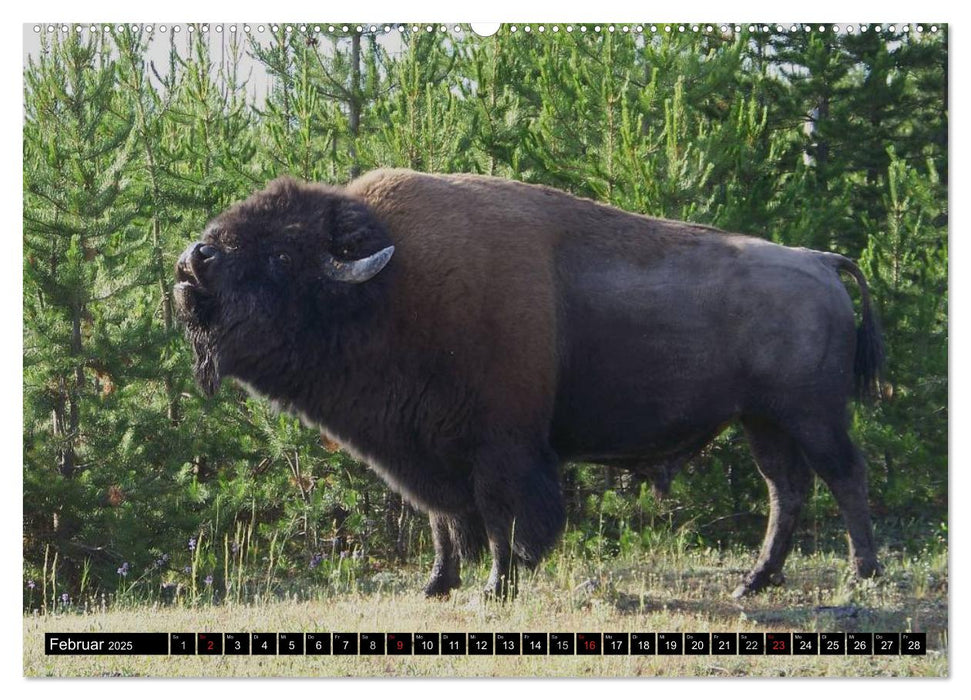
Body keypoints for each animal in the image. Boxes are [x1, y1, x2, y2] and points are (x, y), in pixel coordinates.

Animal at [171, 168, 884, 596]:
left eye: (280, 255)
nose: (191, 262)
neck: (390, 283)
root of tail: (821, 261)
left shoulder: (501, 446)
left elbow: (499, 515)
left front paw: (498, 584)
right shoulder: (422, 448)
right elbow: (443, 518)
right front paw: (437, 586)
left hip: (812, 416)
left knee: (844, 478)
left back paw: (860, 577)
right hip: (762, 421)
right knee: (787, 490)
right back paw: (753, 582)